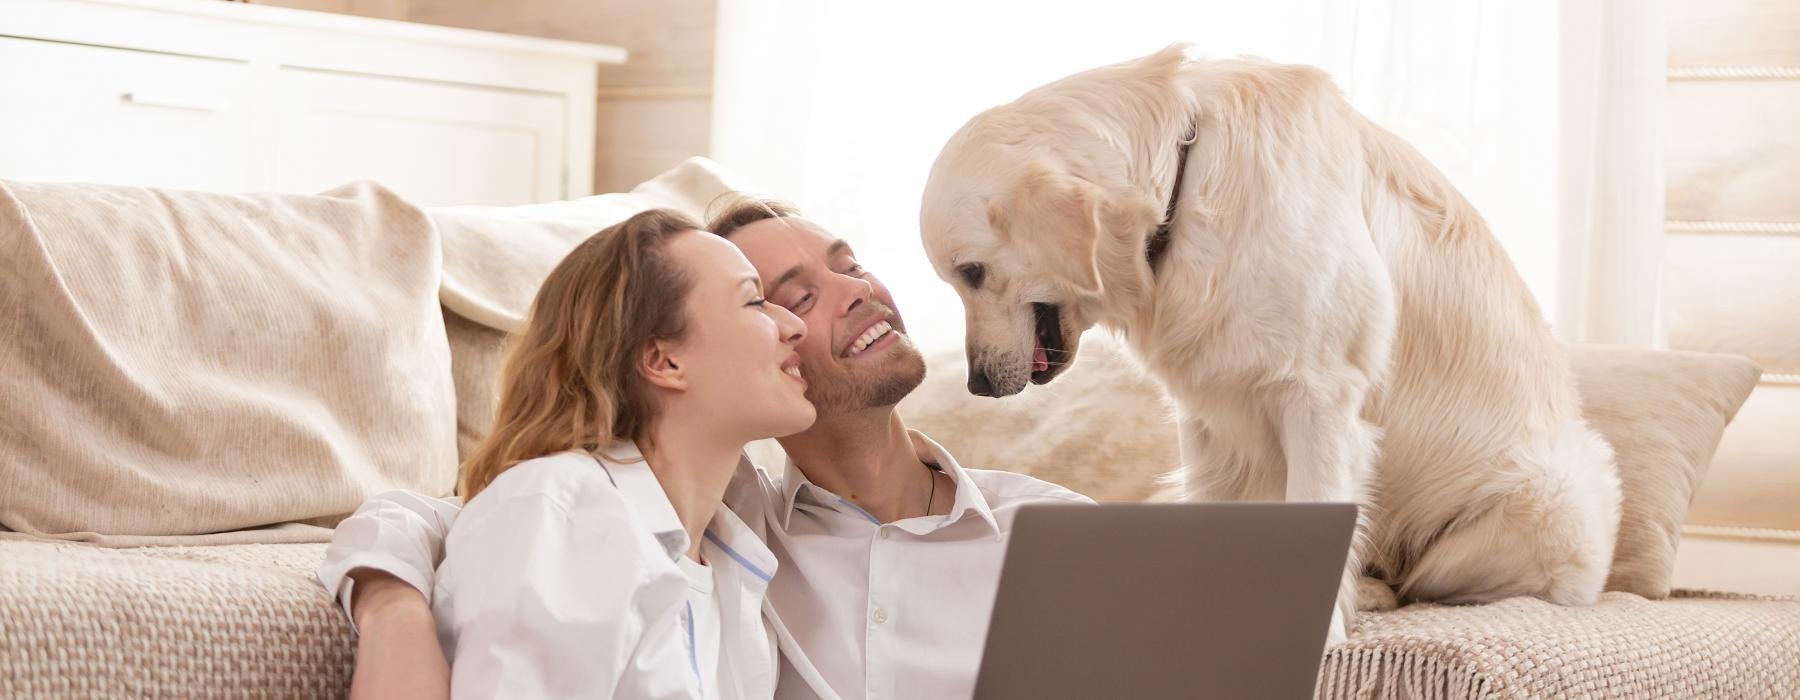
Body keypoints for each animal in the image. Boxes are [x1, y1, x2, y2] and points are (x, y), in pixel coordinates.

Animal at [921, 46, 1627, 640]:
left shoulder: (1319, 399)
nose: (976, 383)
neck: (1181, 183)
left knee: (1431, 580)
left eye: (972, 272)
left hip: (1548, 494)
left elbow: (1319, 500)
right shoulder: (1206, 417)